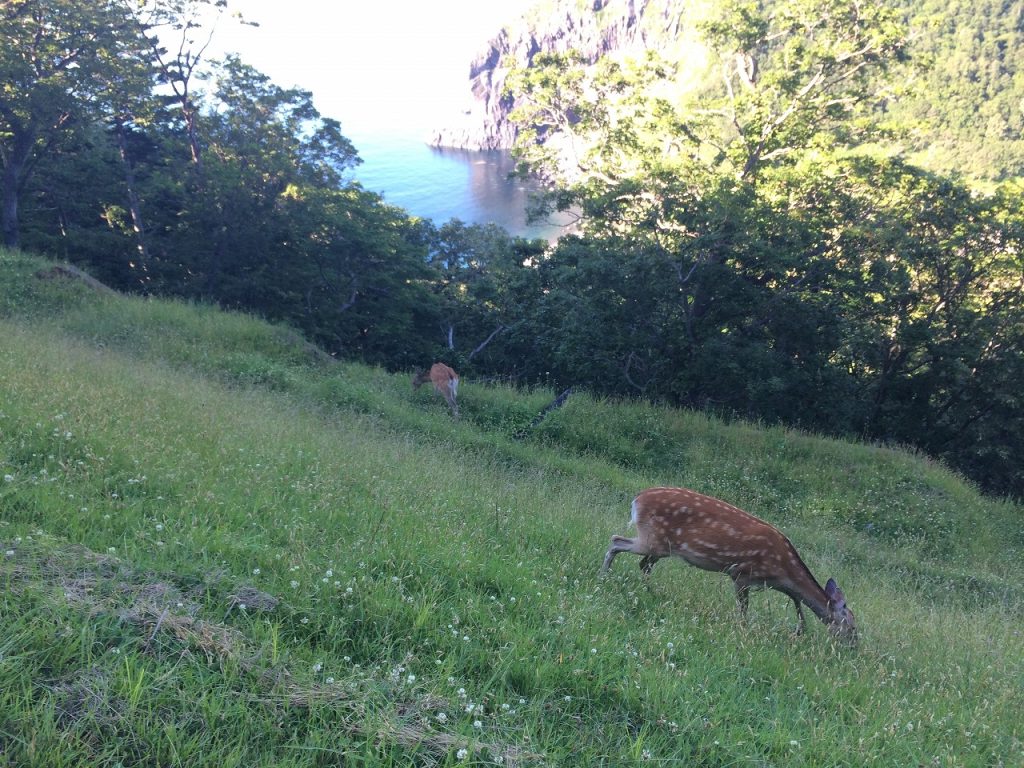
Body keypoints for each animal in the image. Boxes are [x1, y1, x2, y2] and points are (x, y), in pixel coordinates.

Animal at [598, 487, 856, 643]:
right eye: (853, 627)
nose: (854, 646)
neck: (783, 569)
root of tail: (637, 499)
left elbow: (796, 600)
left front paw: (801, 629)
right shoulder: (742, 572)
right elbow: (744, 609)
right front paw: (744, 629)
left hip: (662, 546)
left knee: (642, 563)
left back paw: (649, 591)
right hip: (653, 539)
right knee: (616, 541)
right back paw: (604, 576)